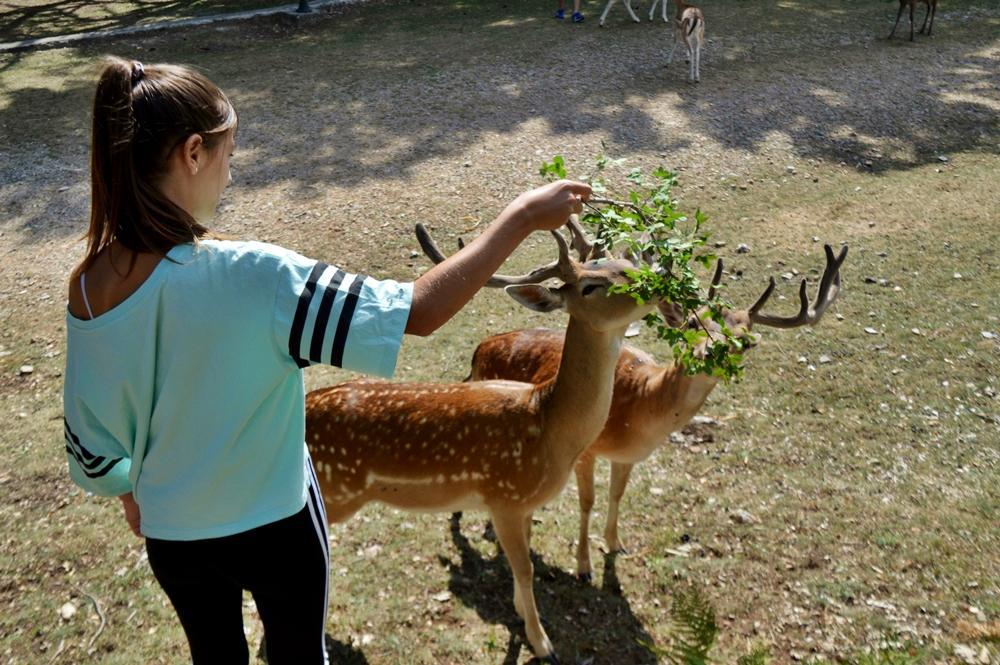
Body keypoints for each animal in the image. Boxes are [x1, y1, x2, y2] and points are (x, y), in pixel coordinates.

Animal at [304, 223, 656, 660]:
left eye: (628, 264)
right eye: (591, 286)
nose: (654, 281)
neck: (550, 429)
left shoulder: (522, 504)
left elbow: (524, 558)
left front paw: (521, 614)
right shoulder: (503, 497)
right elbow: (524, 567)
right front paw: (542, 643)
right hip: (331, 492)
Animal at [418, 226, 848, 580]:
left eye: (744, 341)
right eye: (694, 323)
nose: (710, 352)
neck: (642, 408)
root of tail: (479, 349)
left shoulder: (627, 457)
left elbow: (616, 495)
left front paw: (615, 544)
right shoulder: (586, 451)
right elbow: (587, 502)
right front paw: (584, 566)